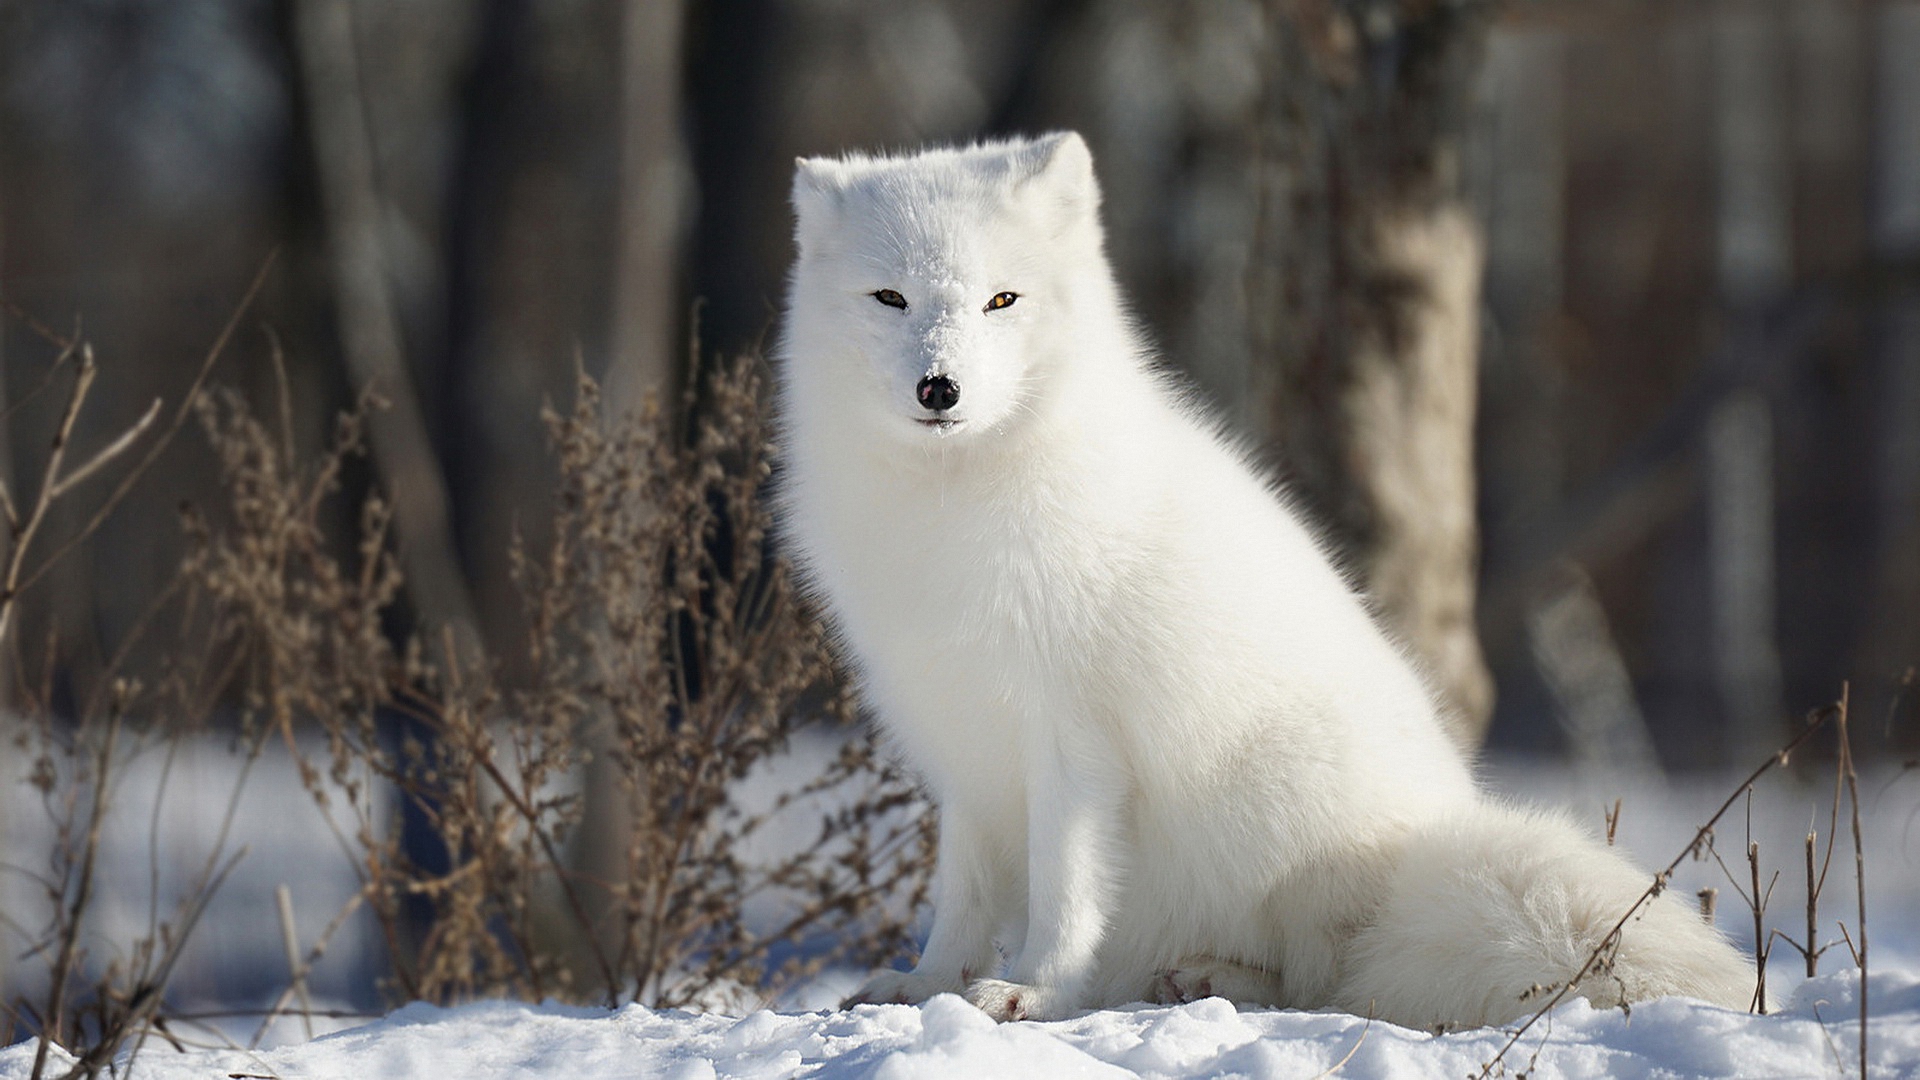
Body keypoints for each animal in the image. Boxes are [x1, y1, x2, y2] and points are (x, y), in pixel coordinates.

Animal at [775, 132, 1758, 1022]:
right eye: (891, 297)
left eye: (1001, 299)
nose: (939, 388)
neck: (954, 508)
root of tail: (1415, 859)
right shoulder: (963, 743)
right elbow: (963, 896)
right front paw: (927, 985)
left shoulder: (1072, 739)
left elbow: (1065, 889)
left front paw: (1034, 990)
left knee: (1326, 981)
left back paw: (1214, 979)